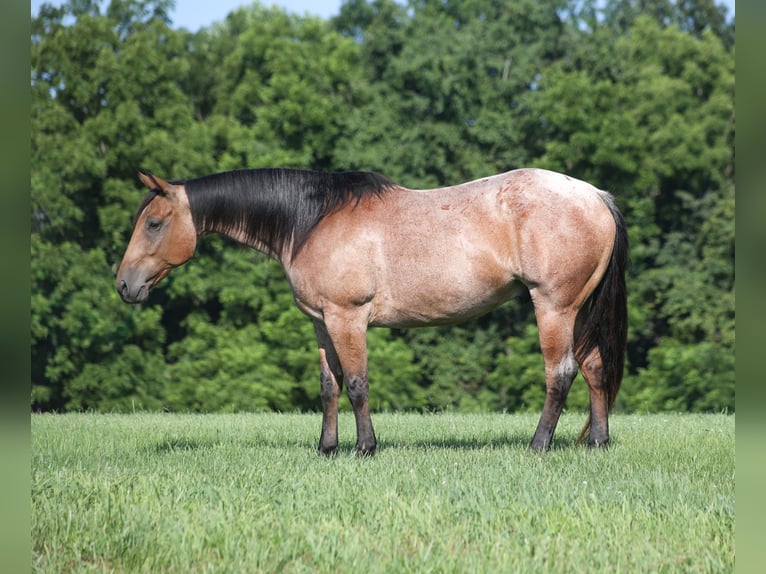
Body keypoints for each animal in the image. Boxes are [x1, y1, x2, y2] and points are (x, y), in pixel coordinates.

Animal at [116, 167, 627, 455]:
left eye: (154, 223)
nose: (124, 285)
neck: (312, 220)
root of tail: (595, 196)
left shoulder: (348, 317)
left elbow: (358, 384)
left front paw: (365, 447)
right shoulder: (321, 322)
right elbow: (330, 386)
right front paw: (326, 448)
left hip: (553, 306)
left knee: (560, 372)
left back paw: (538, 445)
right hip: (577, 309)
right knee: (594, 367)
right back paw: (598, 443)